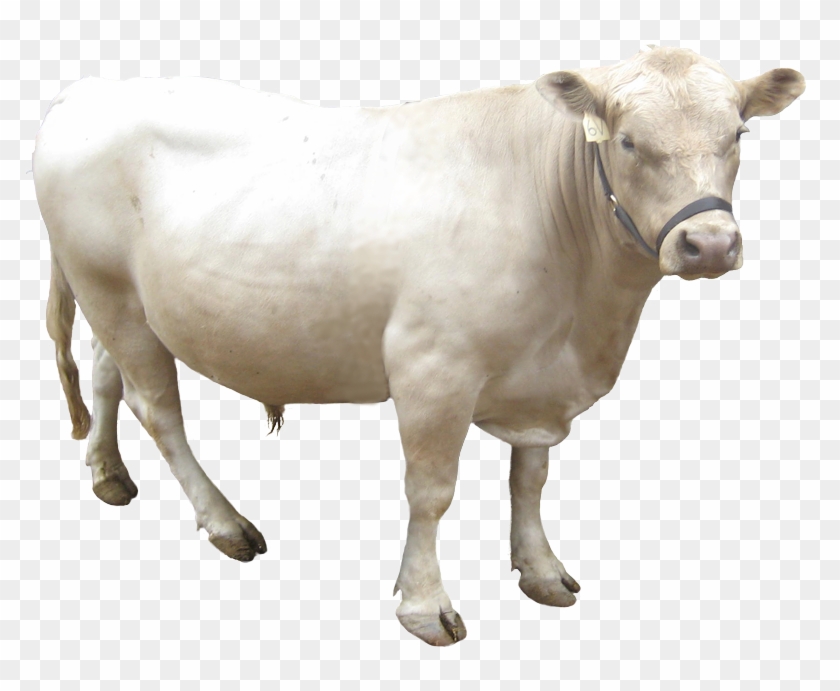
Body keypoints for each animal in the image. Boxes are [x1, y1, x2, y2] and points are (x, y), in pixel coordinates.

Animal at [33, 47, 804, 646]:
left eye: (738, 133)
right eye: (628, 142)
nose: (710, 243)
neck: (583, 318)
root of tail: (86, 90)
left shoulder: (539, 375)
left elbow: (529, 479)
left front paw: (541, 568)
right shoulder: (433, 367)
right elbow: (431, 492)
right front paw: (425, 604)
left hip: (123, 299)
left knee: (105, 376)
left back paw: (107, 473)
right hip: (108, 288)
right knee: (157, 407)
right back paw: (225, 522)